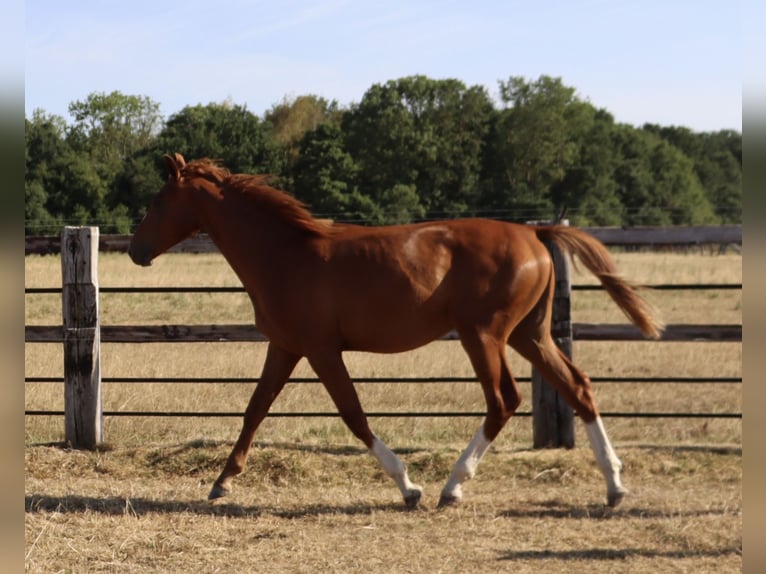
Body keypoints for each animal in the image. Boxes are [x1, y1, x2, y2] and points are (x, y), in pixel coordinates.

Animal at [129, 153, 663, 509]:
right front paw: (222, 482)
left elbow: (353, 414)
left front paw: (408, 487)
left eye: (158, 202)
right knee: (578, 387)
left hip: (484, 335)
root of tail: (534, 232)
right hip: (529, 335)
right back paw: (614, 486)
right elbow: (254, 409)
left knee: (503, 400)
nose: (136, 249)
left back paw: (451, 487)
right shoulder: (285, 347)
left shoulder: (322, 350)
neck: (285, 253)